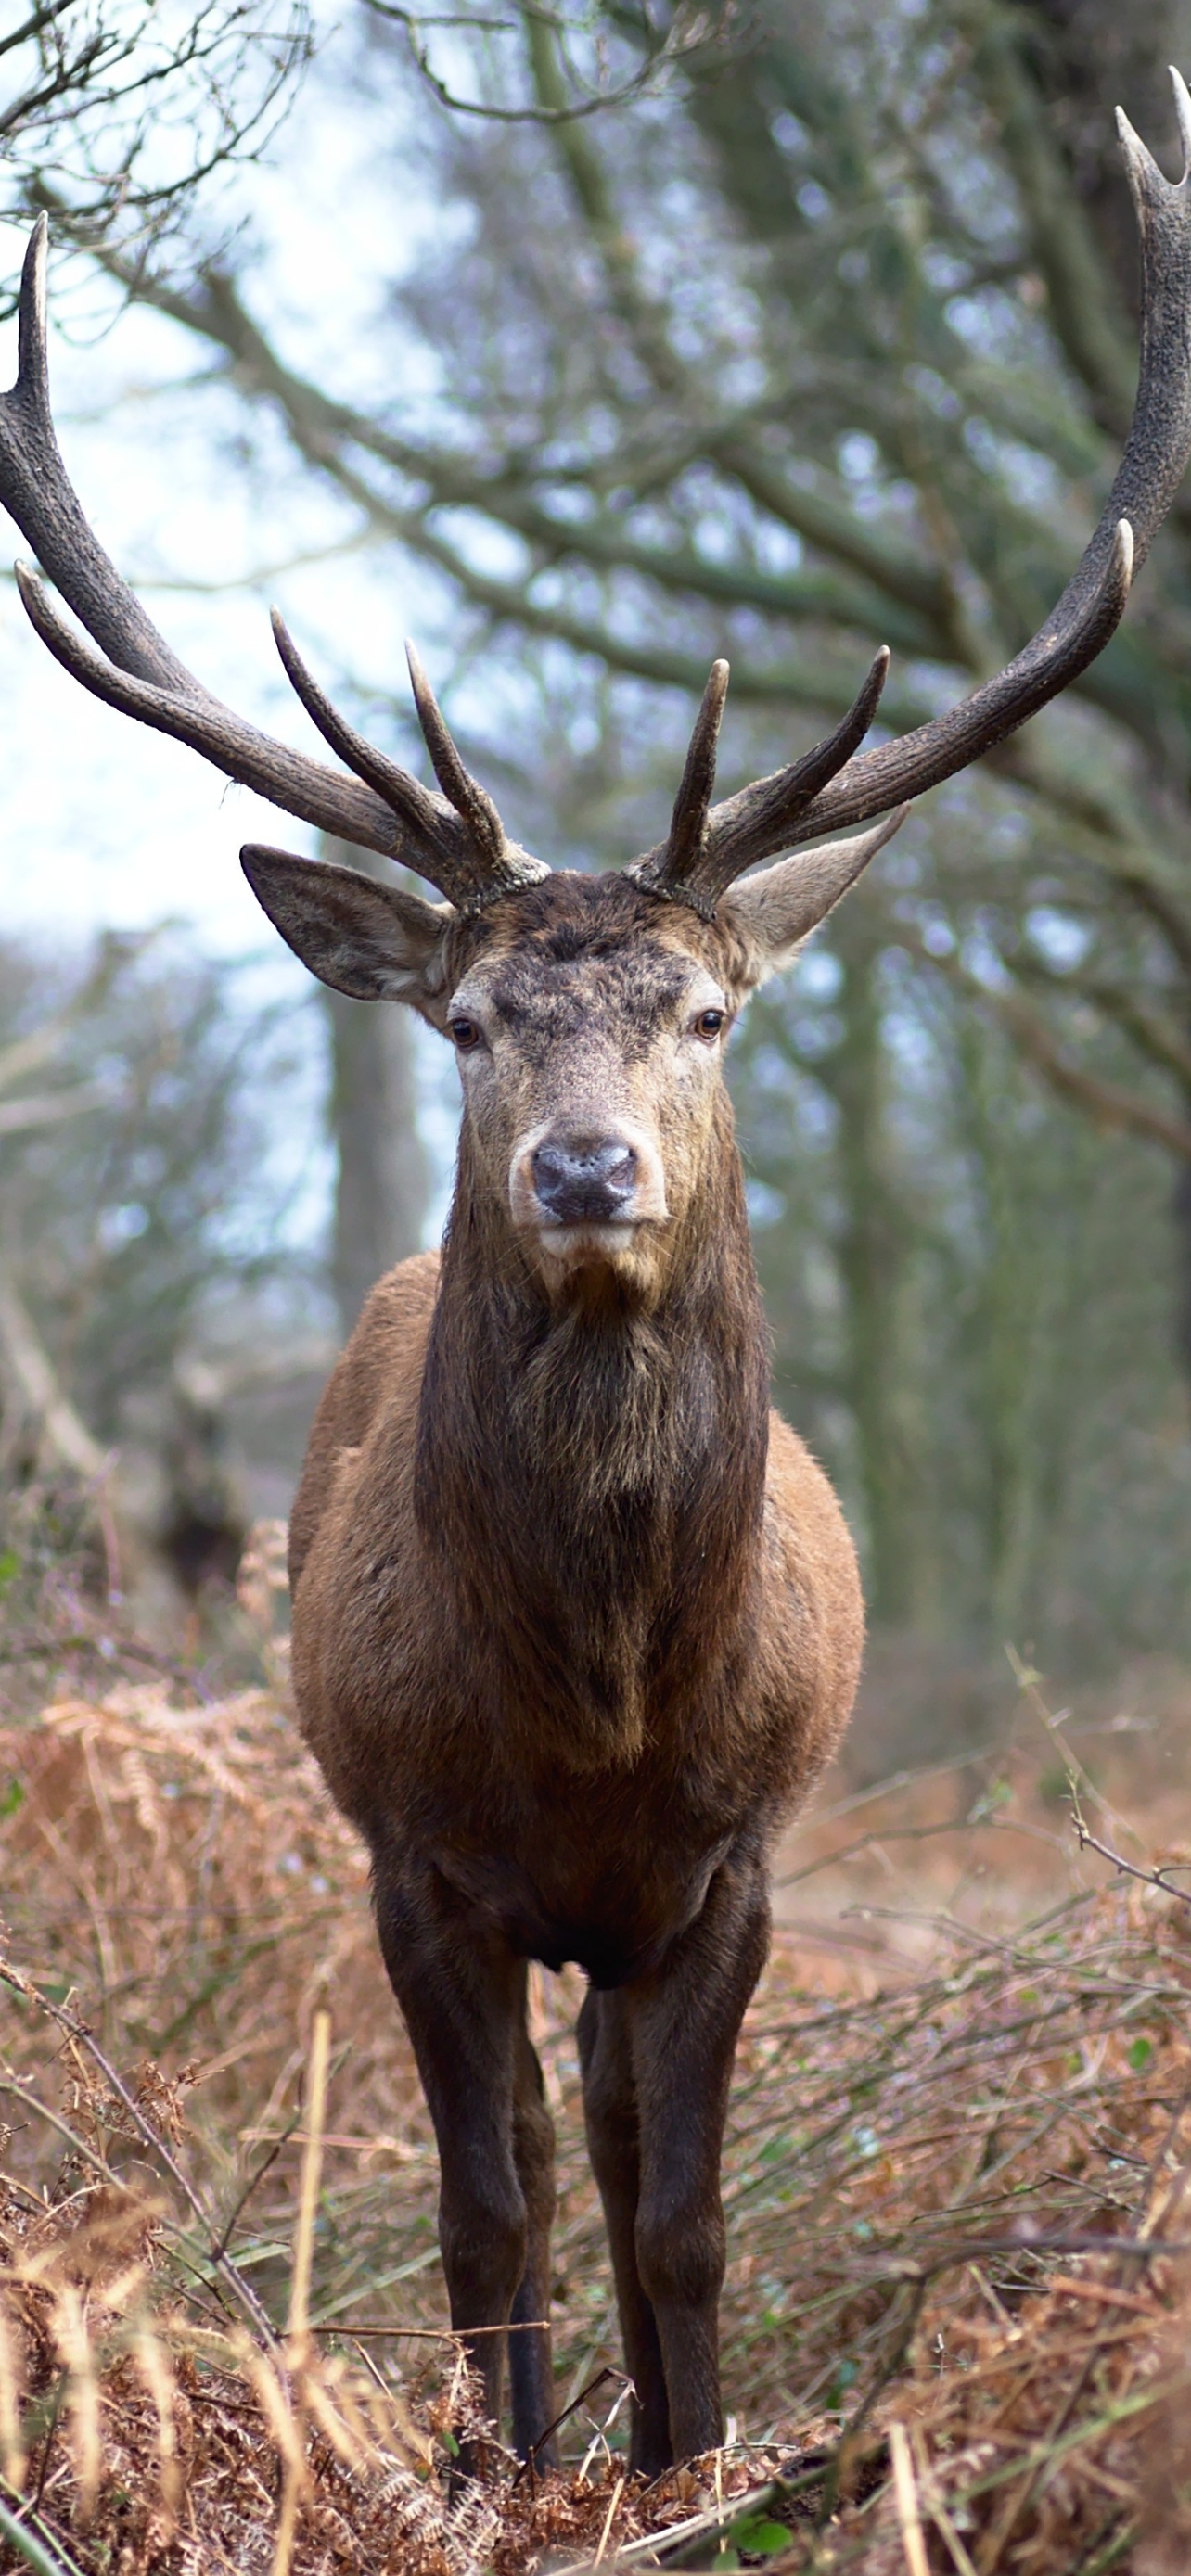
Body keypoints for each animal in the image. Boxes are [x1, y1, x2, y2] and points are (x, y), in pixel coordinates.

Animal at [2, 85, 1191, 2472]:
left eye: (708, 1012)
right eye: (467, 1023)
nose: (581, 1165)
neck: (601, 1706)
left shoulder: (731, 1862)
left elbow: (684, 2211)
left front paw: (690, 2466)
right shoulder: (417, 1855)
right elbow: (492, 2207)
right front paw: (517, 2476)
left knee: (629, 2143)